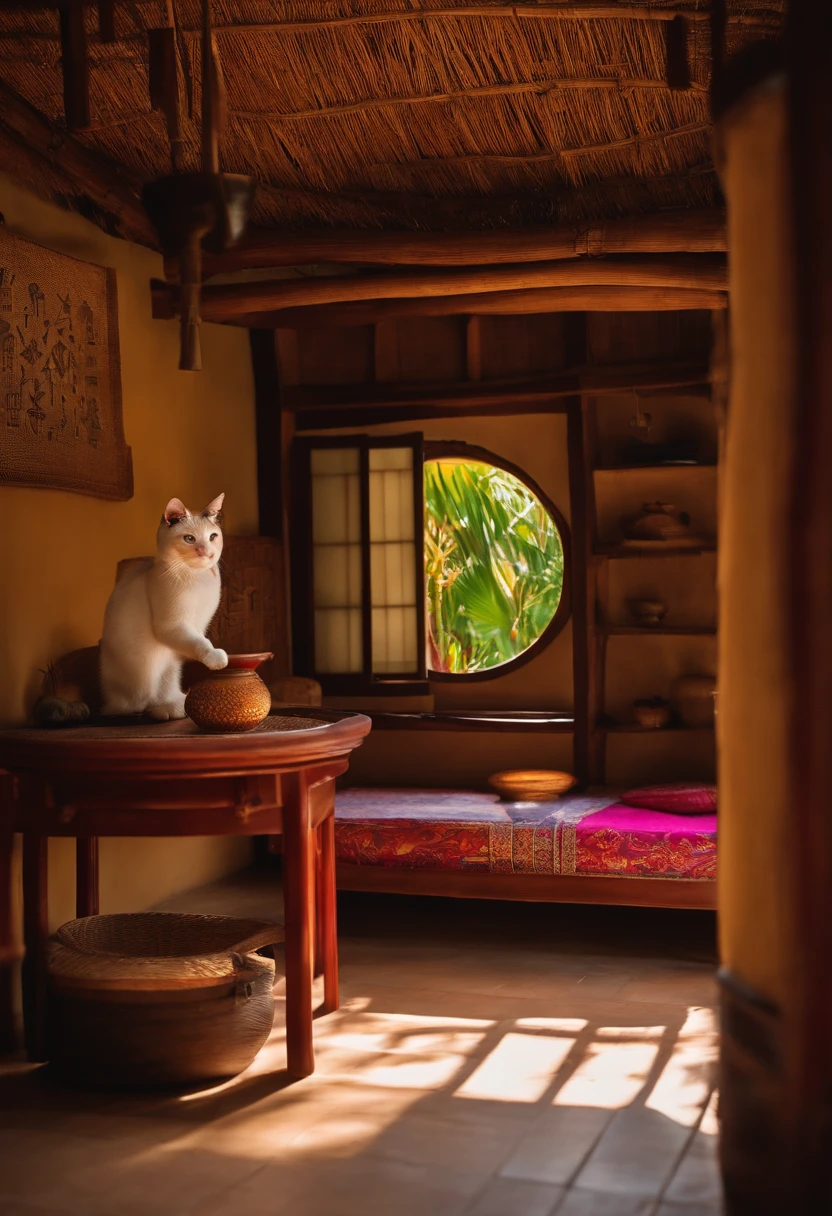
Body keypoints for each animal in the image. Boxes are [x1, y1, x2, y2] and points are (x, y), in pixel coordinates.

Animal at [99, 496, 227, 719]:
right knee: (142, 704)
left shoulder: (198, 626)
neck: (199, 579)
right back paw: (164, 709)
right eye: (190, 539)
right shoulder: (172, 626)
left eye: (213, 536)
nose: (207, 553)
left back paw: (176, 705)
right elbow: (201, 643)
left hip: (168, 666)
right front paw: (215, 659)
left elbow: (196, 641)